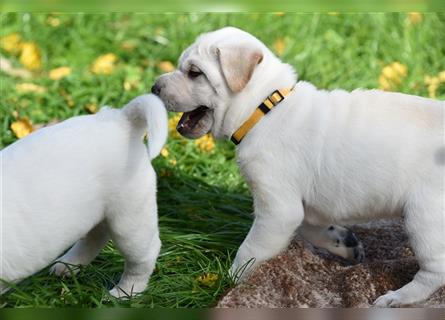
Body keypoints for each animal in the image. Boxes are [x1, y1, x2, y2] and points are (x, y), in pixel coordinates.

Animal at [0, 94, 167, 298]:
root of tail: (121, 120)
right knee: (95, 237)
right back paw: (68, 265)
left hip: (130, 221)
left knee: (143, 257)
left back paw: (125, 292)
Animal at [153, 26, 444, 306]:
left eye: (194, 73)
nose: (154, 86)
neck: (264, 110)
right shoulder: (302, 207)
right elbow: (310, 228)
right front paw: (344, 242)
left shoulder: (277, 210)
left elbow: (250, 251)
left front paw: (230, 280)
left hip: (424, 219)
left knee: (435, 271)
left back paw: (399, 297)